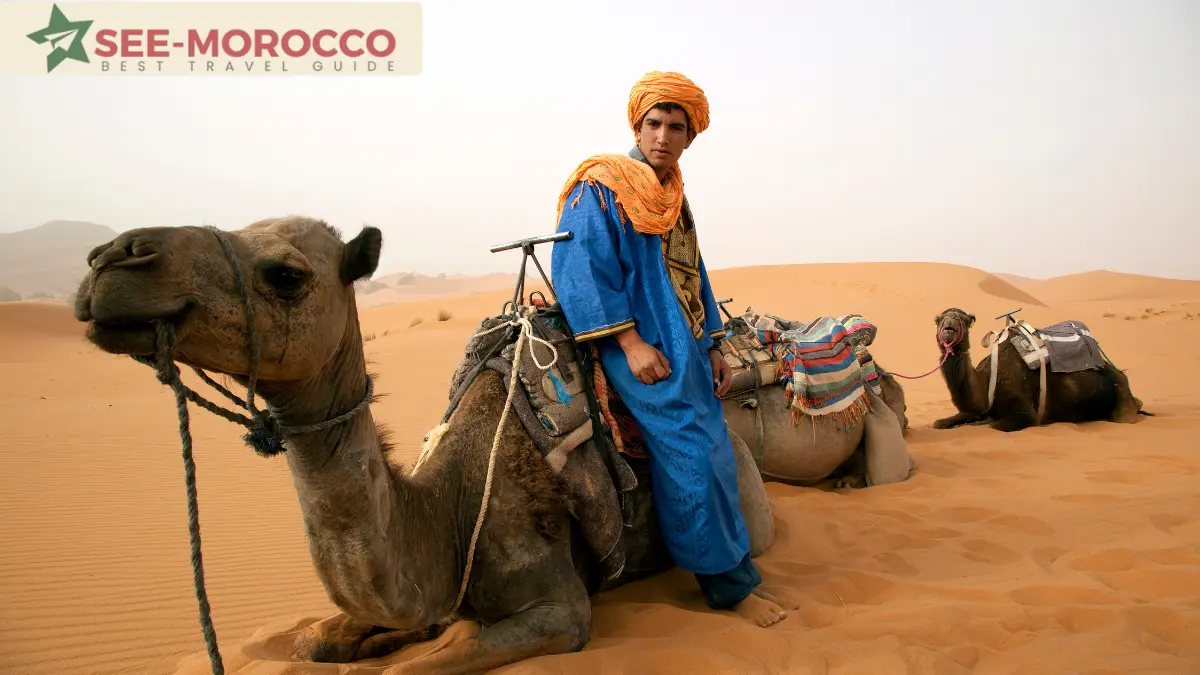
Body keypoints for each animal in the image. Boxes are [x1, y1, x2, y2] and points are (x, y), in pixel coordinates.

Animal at [73, 217, 793, 675]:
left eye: (286, 273)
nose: (111, 259)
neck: (448, 508)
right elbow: (318, 642)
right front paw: (356, 640)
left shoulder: (561, 611)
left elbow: (413, 667)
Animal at [931, 307, 1145, 432]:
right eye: (940, 319)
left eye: (965, 320)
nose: (949, 325)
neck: (986, 382)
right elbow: (942, 422)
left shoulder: (1024, 412)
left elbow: (994, 425)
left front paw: (981, 422)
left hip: (1122, 400)